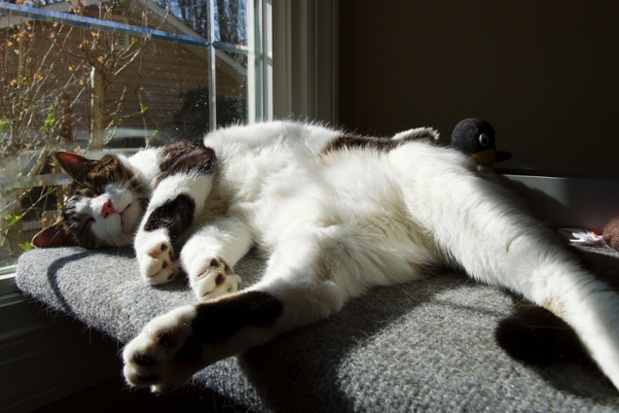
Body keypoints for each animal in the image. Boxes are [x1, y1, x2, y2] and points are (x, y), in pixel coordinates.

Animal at [31, 120, 619, 392]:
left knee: (564, 280)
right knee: (308, 296)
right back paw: (171, 347)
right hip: (330, 245)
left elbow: (166, 205)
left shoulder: (194, 157)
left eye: (95, 185)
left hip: (468, 214)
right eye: (82, 222)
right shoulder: (230, 221)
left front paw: (153, 250)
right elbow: (206, 241)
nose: (106, 207)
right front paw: (209, 275)